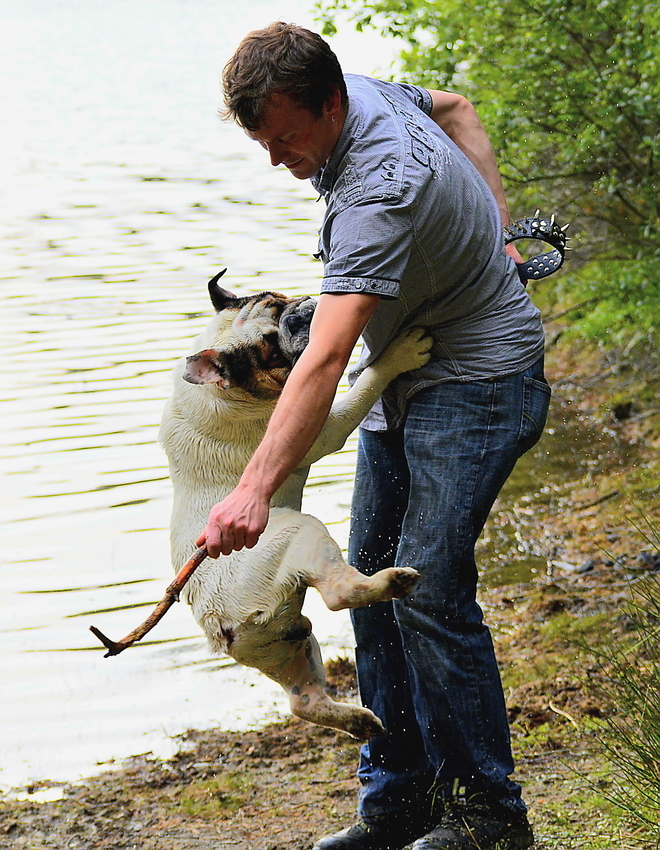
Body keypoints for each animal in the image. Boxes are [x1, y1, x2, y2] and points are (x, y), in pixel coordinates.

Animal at [160, 270, 434, 736]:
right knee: (339, 594)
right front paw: (400, 353)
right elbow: (364, 385)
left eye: (279, 299)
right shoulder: (323, 424)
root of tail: (217, 620)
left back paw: (358, 721)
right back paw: (390, 582)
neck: (235, 393)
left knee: (301, 700)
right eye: (270, 348)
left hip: (286, 643)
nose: (301, 313)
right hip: (299, 533)